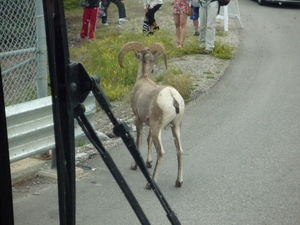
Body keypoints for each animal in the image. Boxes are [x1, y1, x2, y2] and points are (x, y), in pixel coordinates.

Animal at [118, 41, 184, 189]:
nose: (153, 70)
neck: (143, 78)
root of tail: (172, 97)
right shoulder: (149, 123)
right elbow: (147, 140)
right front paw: (148, 163)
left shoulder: (138, 120)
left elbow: (139, 141)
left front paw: (135, 165)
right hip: (175, 126)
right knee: (180, 151)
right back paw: (178, 182)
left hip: (157, 128)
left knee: (161, 152)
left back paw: (150, 183)